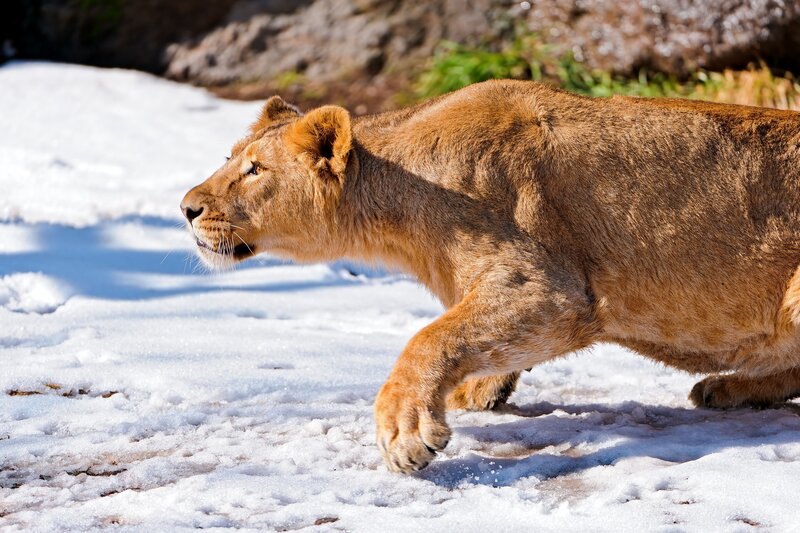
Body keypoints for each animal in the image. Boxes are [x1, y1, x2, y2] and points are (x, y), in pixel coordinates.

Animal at [181, 80, 800, 473]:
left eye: (255, 170)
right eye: (230, 157)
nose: (187, 207)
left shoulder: (553, 289)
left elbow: (429, 338)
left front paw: (405, 431)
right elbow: (468, 336)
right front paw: (479, 388)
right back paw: (727, 387)